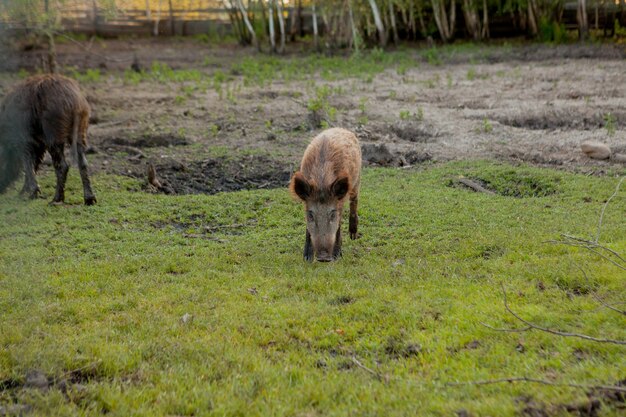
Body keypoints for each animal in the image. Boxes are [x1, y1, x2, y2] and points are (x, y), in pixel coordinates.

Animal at [0, 75, 96, 206]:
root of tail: (75, 103)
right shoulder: (38, 144)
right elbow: (34, 164)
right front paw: (23, 194)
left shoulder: (24, 140)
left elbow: (28, 164)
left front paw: (30, 195)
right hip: (81, 131)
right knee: (83, 163)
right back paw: (89, 200)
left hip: (53, 134)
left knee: (63, 165)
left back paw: (55, 200)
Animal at [288, 128, 360, 262]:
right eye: (310, 215)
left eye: (332, 214)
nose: (323, 257)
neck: (321, 182)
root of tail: (341, 128)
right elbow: (307, 229)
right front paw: (307, 258)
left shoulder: (339, 203)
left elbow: (338, 224)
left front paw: (337, 257)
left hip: (357, 181)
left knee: (354, 201)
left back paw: (353, 236)